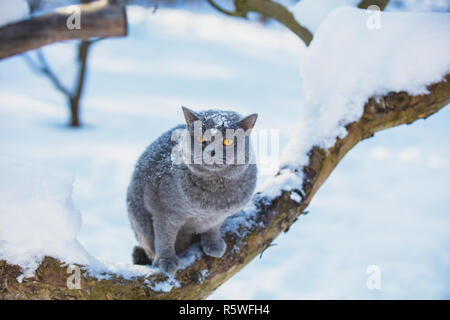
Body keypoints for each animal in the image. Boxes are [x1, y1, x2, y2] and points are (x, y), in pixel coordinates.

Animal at [125, 106, 256, 274]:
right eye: (201, 139)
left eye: (227, 141)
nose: (212, 151)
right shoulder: (164, 211)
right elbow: (164, 236)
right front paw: (166, 260)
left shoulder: (218, 216)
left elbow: (213, 228)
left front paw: (213, 244)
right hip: (140, 221)